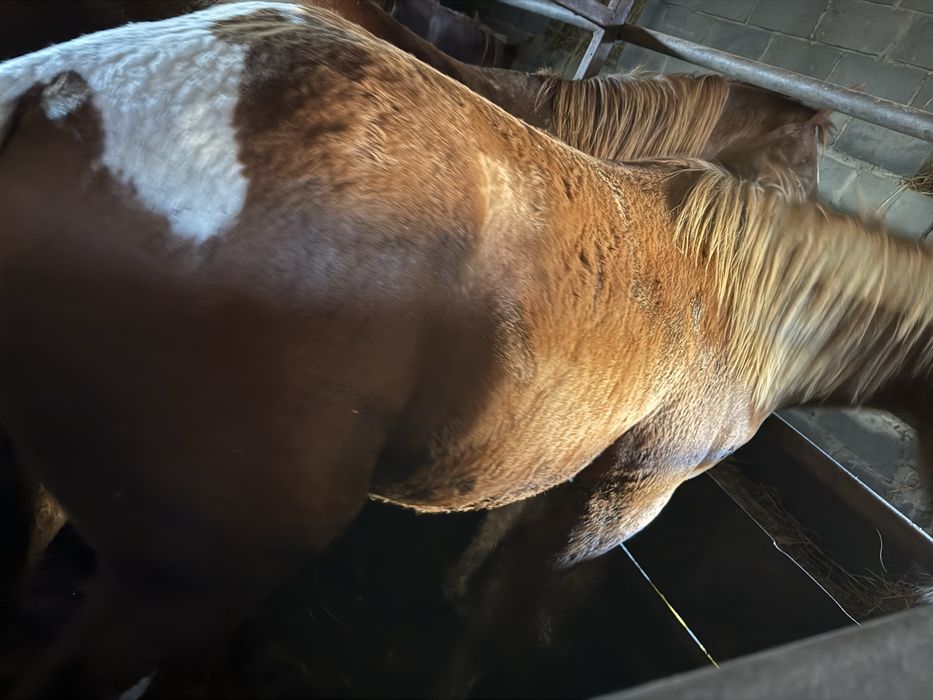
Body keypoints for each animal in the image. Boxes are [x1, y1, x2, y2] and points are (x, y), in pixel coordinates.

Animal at [1, 4, 929, 697]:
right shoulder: (624, 497)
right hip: (191, 576)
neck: (743, 296)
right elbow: (514, 605)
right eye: (804, 150)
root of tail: (48, 92)